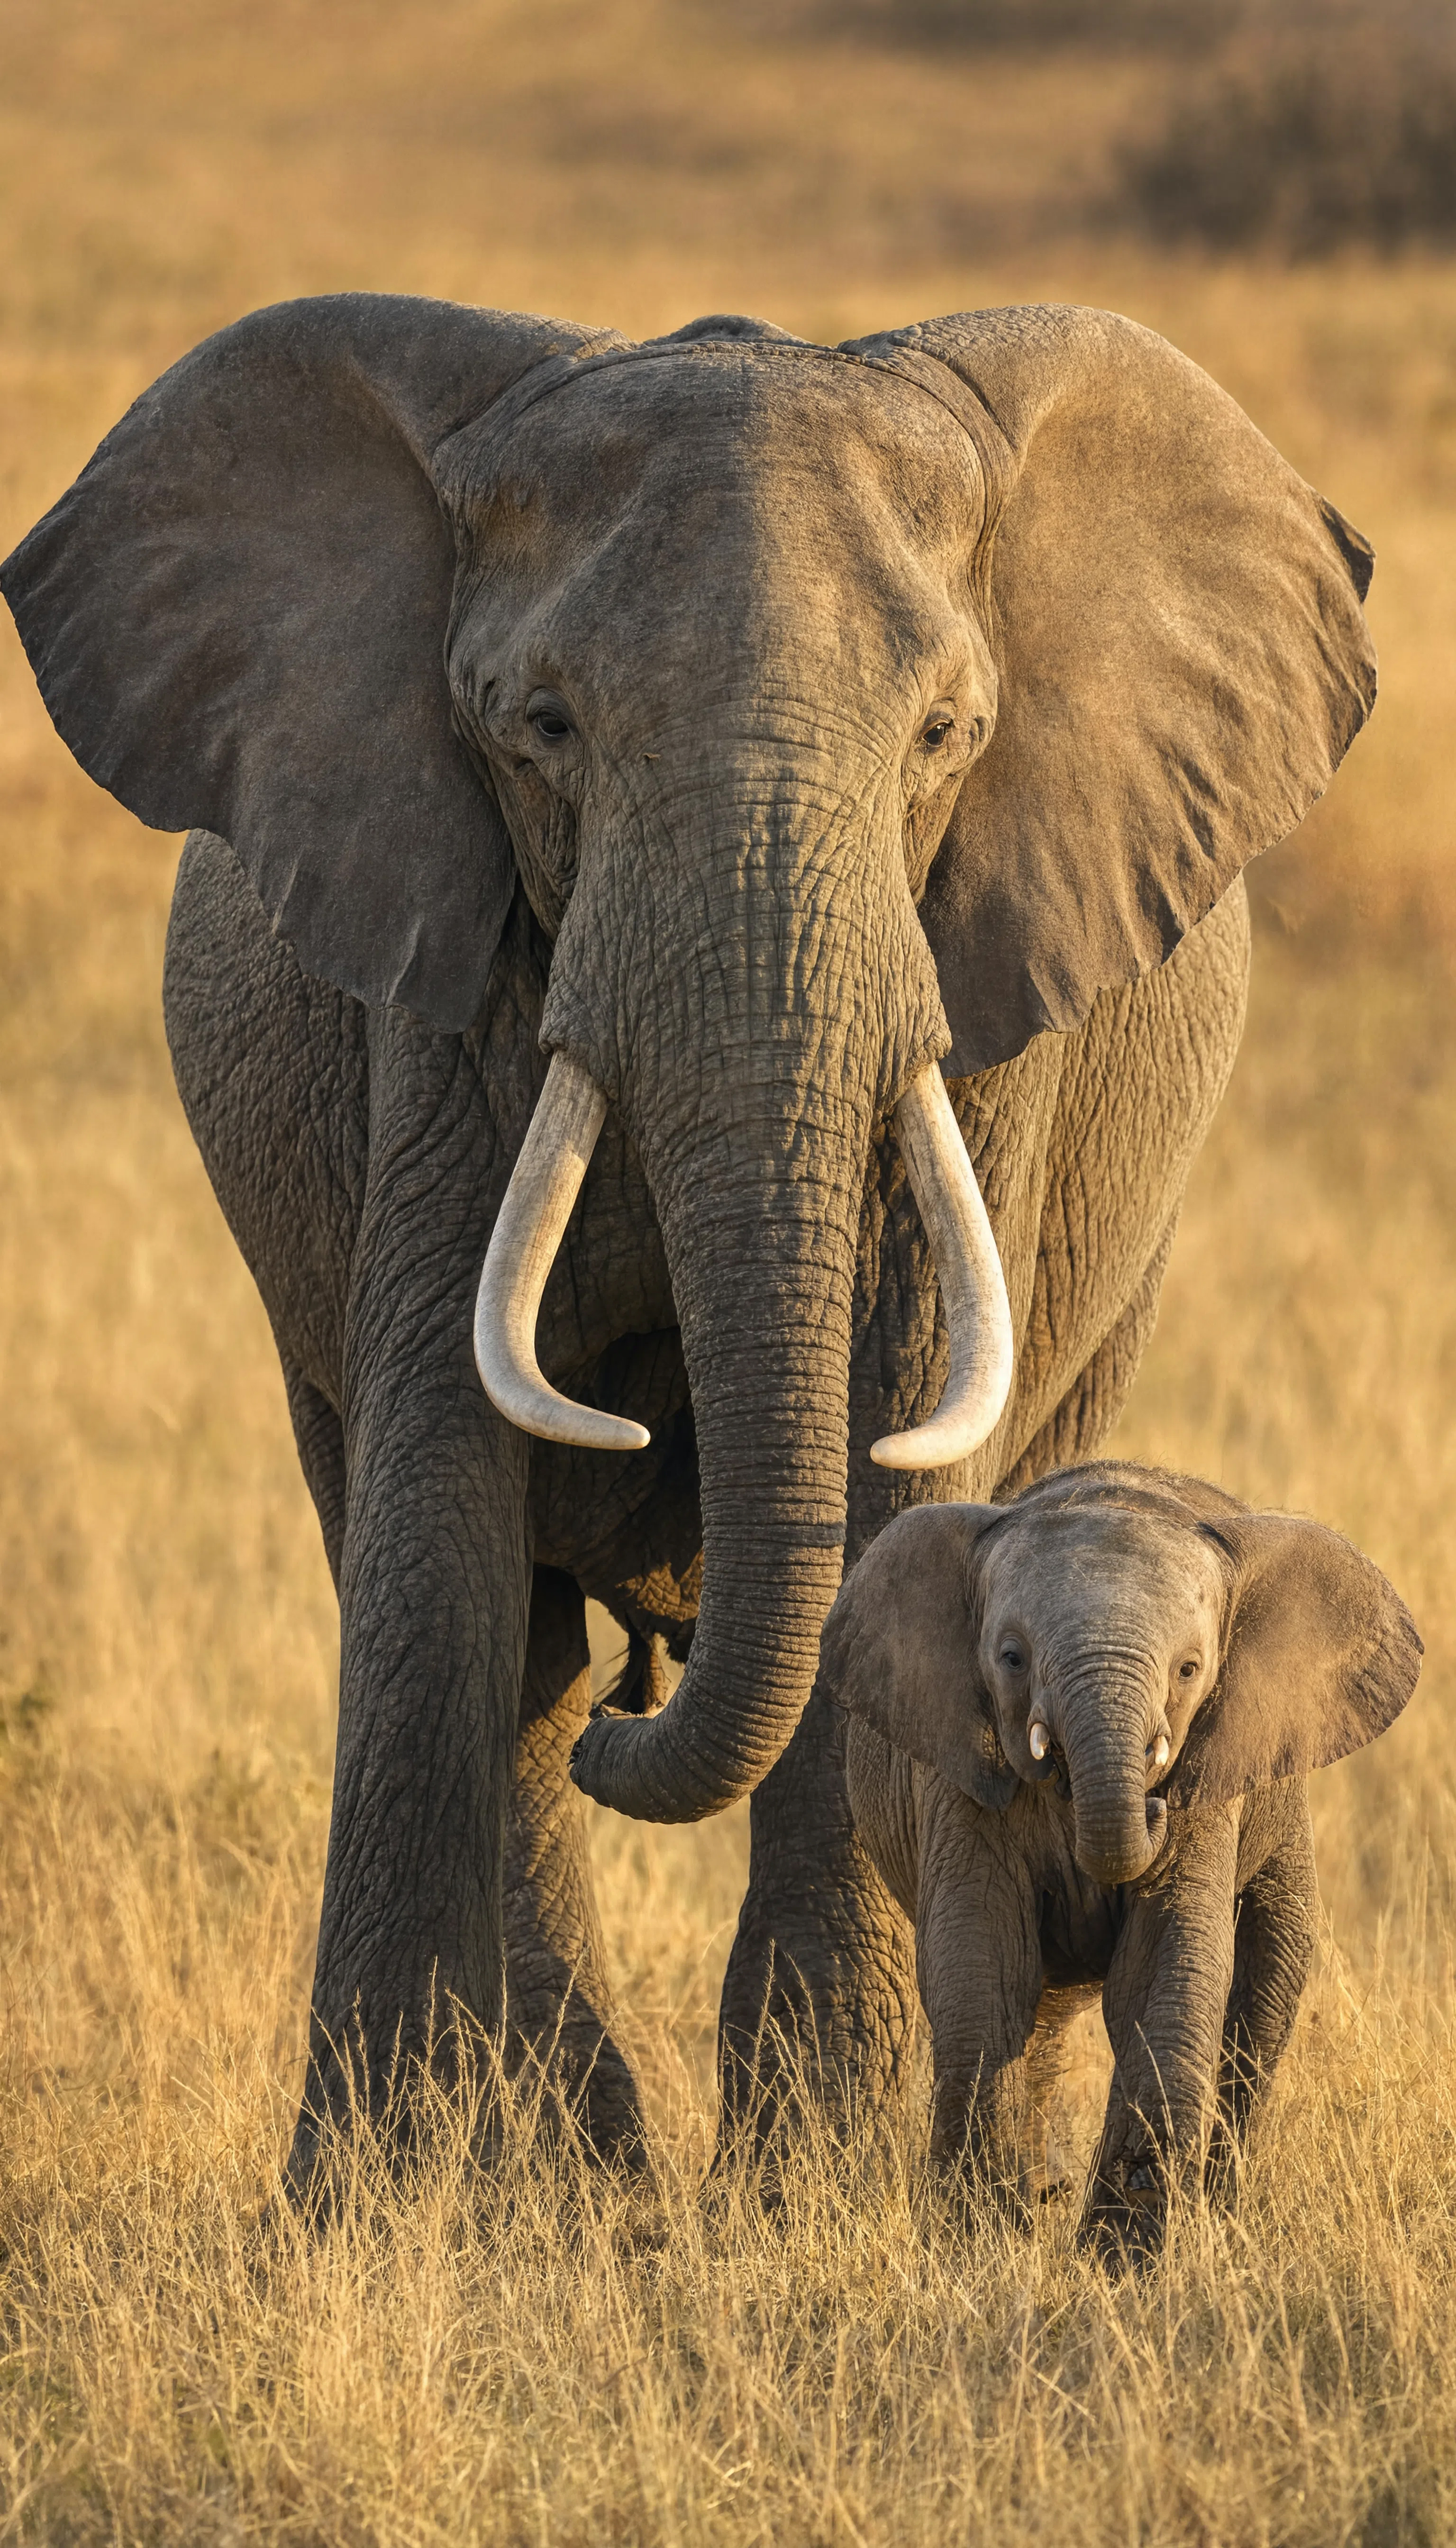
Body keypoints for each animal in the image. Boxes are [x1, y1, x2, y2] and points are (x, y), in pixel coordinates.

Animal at [1, 295, 1377, 2194]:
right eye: (540, 726)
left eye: (946, 733)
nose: (631, 1732)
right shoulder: (434, 968)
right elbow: (440, 1494)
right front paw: (358, 2211)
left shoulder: (985, 1003)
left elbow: (893, 1460)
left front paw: (812, 2180)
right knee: (465, 1597)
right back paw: (587, 2170)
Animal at [823, 1461, 1422, 2256]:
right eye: (1011, 1658)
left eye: (1190, 1669)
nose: (1150, 1807)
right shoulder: (962, 1773)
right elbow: (986, 1963)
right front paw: (976, 2246)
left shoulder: (1210, 1785)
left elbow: (1161, 1967)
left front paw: (1126, 2259)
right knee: (1039, 2007)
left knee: (1270, 1976)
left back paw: (1215, 2216)